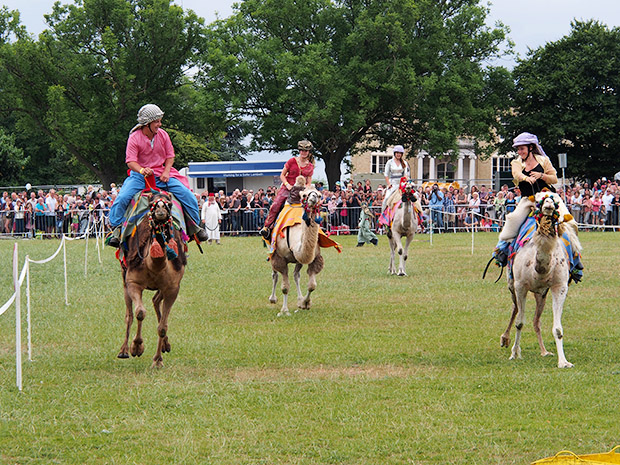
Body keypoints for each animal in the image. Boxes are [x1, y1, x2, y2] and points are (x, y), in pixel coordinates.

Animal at [117, 191, 186, 366]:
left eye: (169, 204)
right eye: (150, 205)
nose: (160, 209)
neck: (154, 265)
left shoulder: (172, 288)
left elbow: (162, 327)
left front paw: (157, 360)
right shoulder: (133, 282)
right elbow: (140, 312)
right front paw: (136, 347)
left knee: (156, 302)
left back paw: (166, 345)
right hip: (124, 278)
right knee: (129, 314)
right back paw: (123, 351)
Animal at [268, 188, 324, 316]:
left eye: (319, 195)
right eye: (304, 195)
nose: (313, 198)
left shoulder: (314, 258)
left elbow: (312, 285)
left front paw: (305, 303)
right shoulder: (280, 259)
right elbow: (285, 287)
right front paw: (284, 310)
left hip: (298, 261)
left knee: (296, 275)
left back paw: (299, 299)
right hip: (272, 250)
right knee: (275, 275)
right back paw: (272, 299)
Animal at [502, 190, 572, 368]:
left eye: (555, 201)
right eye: (539, 200)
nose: (548, 205)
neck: (540, 270)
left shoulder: (560, 287)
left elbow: (558, 329)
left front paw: (563, 362)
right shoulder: (520, 286)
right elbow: (520, 322)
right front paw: (514, 353)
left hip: (541, 293)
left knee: (536, 320)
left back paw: (544, 351)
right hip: (512, 285)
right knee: (515, 308)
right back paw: (504, 339)